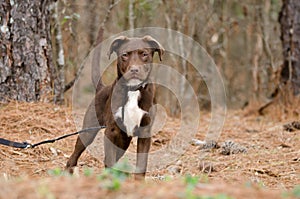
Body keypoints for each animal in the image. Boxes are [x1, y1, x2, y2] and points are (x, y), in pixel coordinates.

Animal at [65, 35, 164, 180]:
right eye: (125, 55)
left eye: (144, 54)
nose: (134, 70)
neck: (132, 90)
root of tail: (102, 88)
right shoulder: (111, 131)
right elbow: (110, 160)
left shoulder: (145, 132)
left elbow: (141, 164)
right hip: (89, 131)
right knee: (74, 156)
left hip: (124, 140)